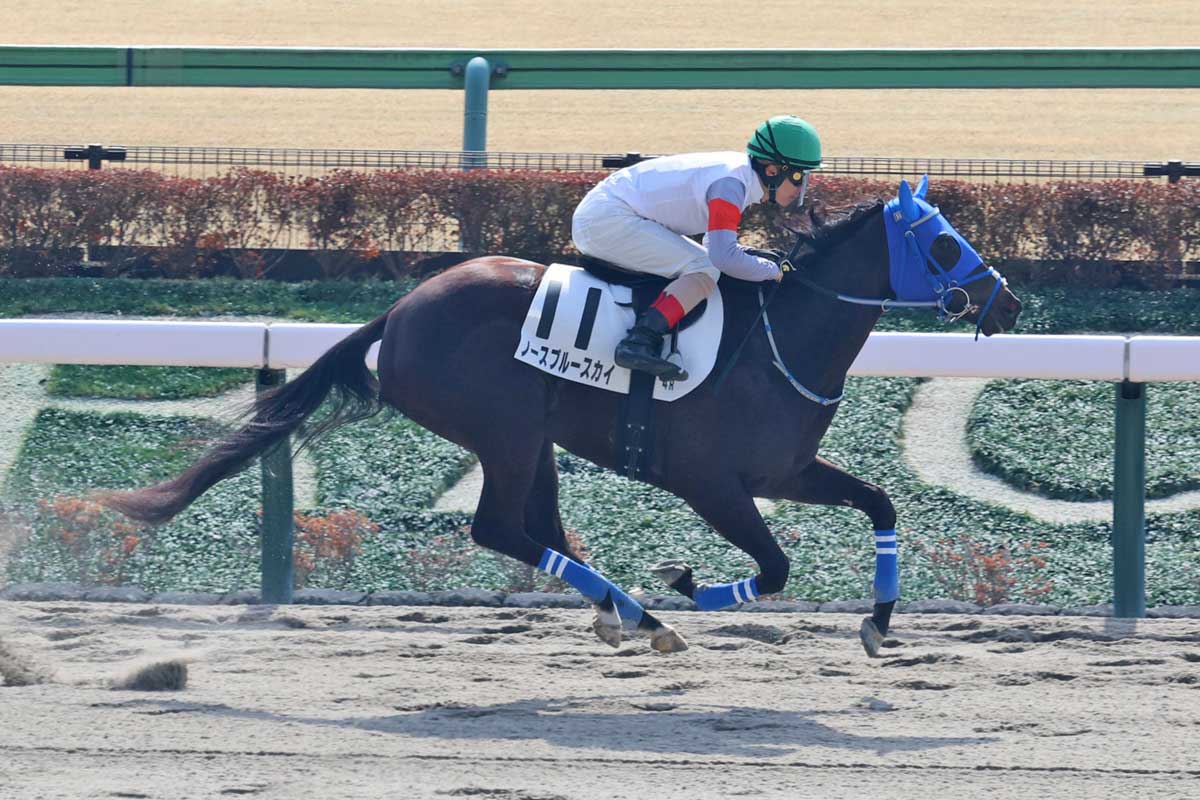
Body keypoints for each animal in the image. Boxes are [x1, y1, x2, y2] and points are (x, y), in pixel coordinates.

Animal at [99, 177, 1022, 656]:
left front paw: (878, 621)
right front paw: (686, 581)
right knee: (498, 527)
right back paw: (643, 614)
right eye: (944, 243)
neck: (780, 340)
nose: (1006, 302)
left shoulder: (786, 472)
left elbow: (881, 504)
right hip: (501, 429)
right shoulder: (711, 483)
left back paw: (622, 611)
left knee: (536, 524)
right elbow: (775, 567)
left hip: (530, 435)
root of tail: (400, 310)